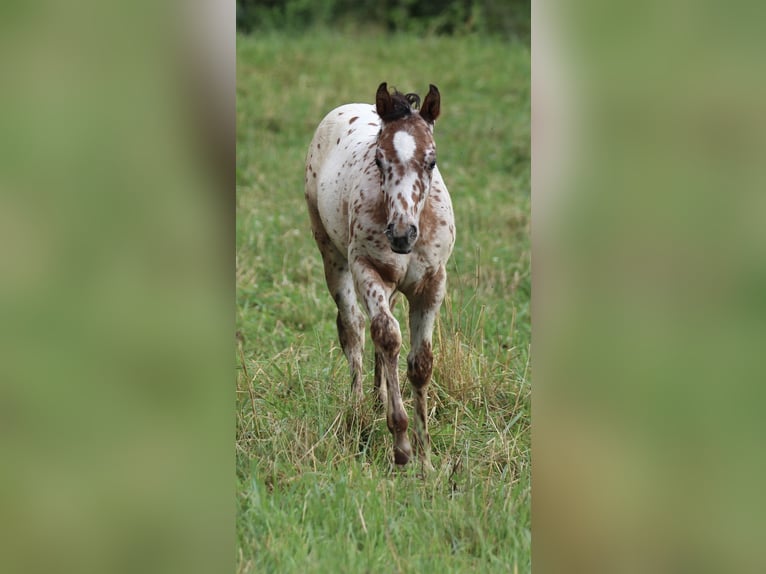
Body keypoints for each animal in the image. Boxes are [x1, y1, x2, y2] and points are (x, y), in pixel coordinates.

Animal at [304, 82, 456, 468]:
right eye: (378, 160)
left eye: (431, 160)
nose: (401, 235)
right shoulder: (366, 269)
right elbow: (387, 336)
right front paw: (401, 448)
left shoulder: (432, 284)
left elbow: (420, 363)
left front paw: (426, 458)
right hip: (332, 255)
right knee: (355, 328)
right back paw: (358, 409)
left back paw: (376, 400)